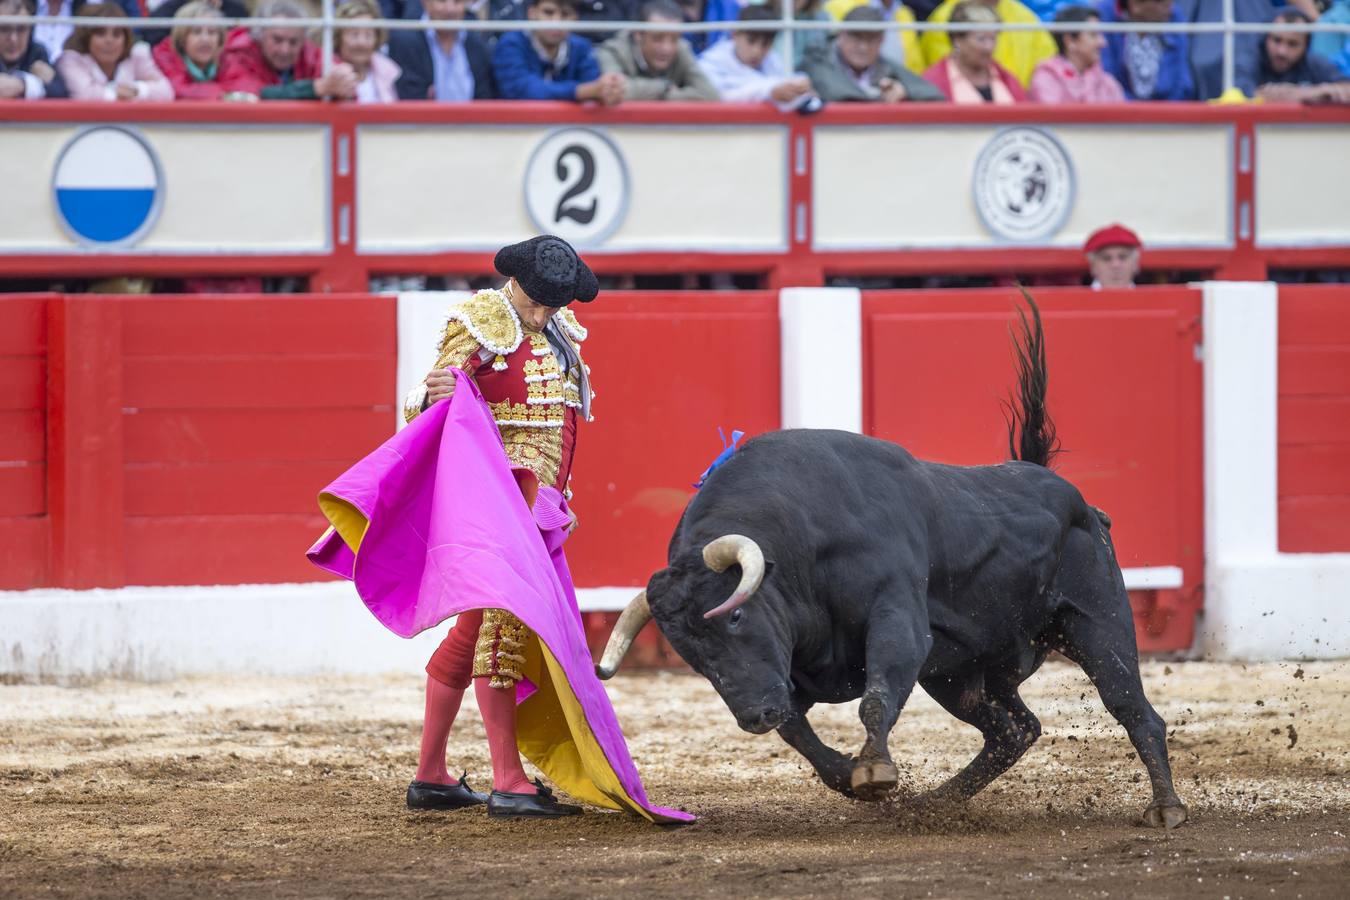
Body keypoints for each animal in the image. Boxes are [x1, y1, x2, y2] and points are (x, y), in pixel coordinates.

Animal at [596, 296, 1188, 831]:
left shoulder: (896, 619)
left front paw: (875, 770)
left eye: (735, 615)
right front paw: (850, 775)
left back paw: (1167, 808)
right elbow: (797, 728)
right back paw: (937, 803)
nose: (753, 716)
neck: (801, 541)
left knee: (1133, 709)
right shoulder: (793, 671)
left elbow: (877, 695)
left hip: (1097, 622)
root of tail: (1067, 494)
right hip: (960, 672)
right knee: (1013, 730)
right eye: (688, 651)